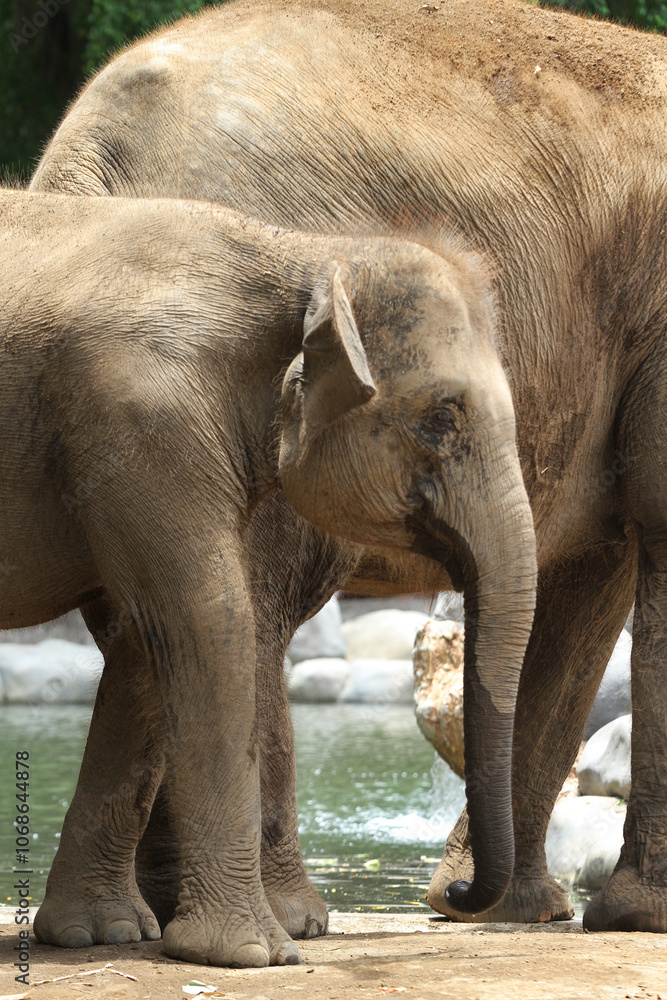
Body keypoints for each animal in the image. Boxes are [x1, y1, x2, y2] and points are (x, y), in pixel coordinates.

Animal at [0, 188, 537, 966]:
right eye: (442, 415)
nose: (454, 897)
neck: (302, 253)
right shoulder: (139, 425)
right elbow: (207, 616)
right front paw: (255, 953)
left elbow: (146, 636)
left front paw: (97, 934)